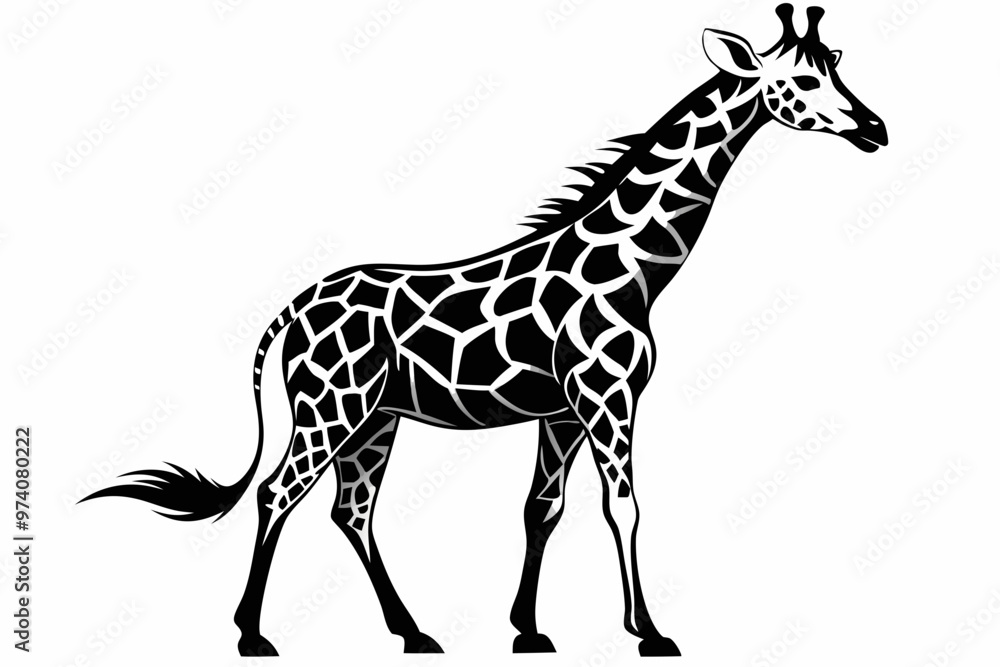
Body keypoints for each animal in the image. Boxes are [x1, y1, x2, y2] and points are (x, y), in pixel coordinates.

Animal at [80, 5, 887, 658]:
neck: (634, 268)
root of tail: (295, 307)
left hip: (375, 417)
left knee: (351, 510)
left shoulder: (563, 410)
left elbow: (542, 508)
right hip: (330, 407)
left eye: (837, 64)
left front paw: (528, 629)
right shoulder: (607, 398)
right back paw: (253, 634)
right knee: (279, 493)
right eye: (801, 80)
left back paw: (413, 632)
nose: (875, 129)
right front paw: (649, 631)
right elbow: (622, 504)